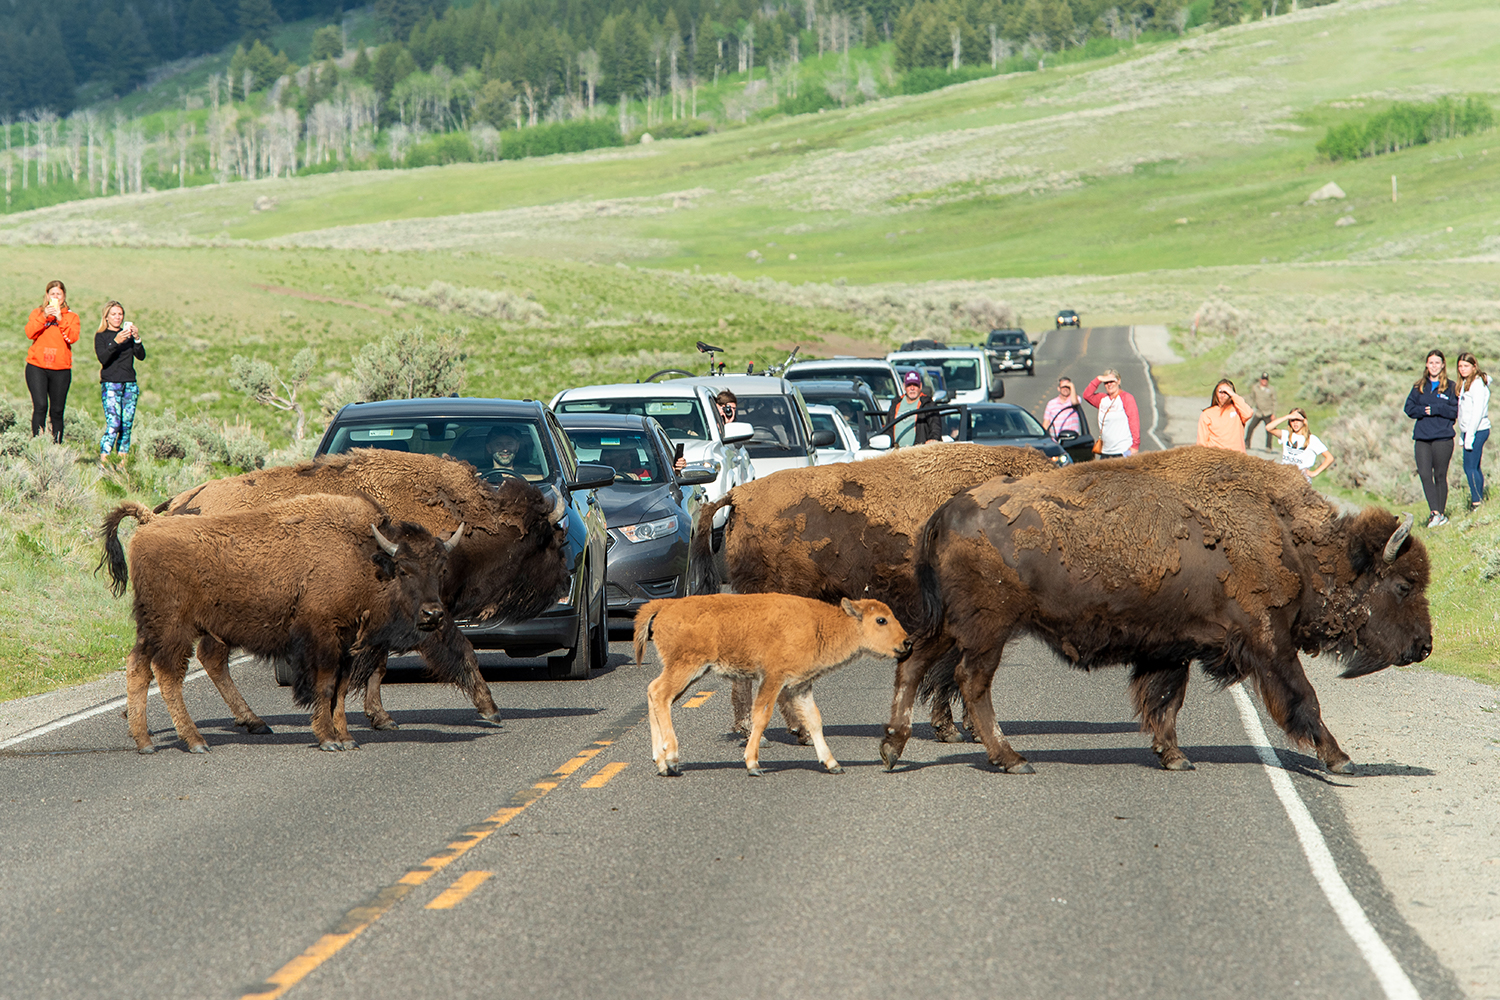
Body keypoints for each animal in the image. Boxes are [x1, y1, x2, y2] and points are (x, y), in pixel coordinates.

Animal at [102, 494, 464, 753]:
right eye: (403, 569)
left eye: (442, 568)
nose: (433, 614)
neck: (362, 555)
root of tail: (148, 526)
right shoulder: (323, 637)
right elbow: (326, 685)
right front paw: (328, 739)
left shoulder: (347, 640)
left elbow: (341, 687)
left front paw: (346, 738)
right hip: (174, 628)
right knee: (167, 673)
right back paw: (195, 742)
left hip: (153, 628)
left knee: (139, 666)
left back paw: (146, 743)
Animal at [157, 449, 569, 728]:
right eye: (550, 538)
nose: (566, 579)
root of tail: (172, 507)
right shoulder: (426, 614)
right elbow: (459, 650)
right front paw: (490, 709)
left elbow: (377, 664)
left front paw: (380, 716)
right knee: (211, 659)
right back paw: (253, 721)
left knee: (211, 659)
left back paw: (251, 721)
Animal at [880, 447, 1432, 775]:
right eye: (1405, 584)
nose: (1425, 646)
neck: (1288, 538)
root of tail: (946, 511)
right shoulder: (1268, 642)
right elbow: (1304, 699)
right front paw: (1341, 760)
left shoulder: (1170, 649)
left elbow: (1164, 701)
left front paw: (1174, 757)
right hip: (986, 629)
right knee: (971, 683)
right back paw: (1011, 759)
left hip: (952, 626)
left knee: (913, 664)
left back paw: (892, 749)